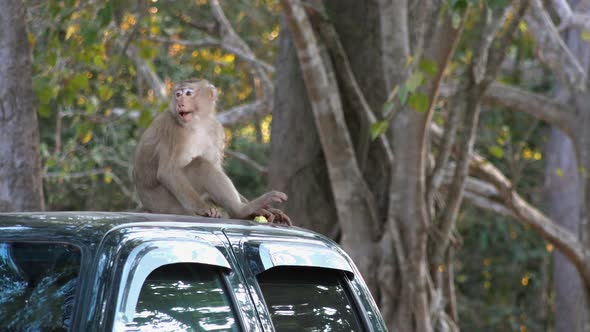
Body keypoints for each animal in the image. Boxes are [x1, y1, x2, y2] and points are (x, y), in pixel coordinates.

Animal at [133, 78, 292, 226]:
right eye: (178, 94)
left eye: (188, 93)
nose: (180, 103)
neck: (197, 122)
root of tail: (147, 205)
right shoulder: (172, 129)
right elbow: (169, 171)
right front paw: (203, 209)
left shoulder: (215, 129)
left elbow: (215, 166)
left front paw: (268, 210)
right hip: (167, 203)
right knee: (200, 165)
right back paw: (240, 211)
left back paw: (248, 211)